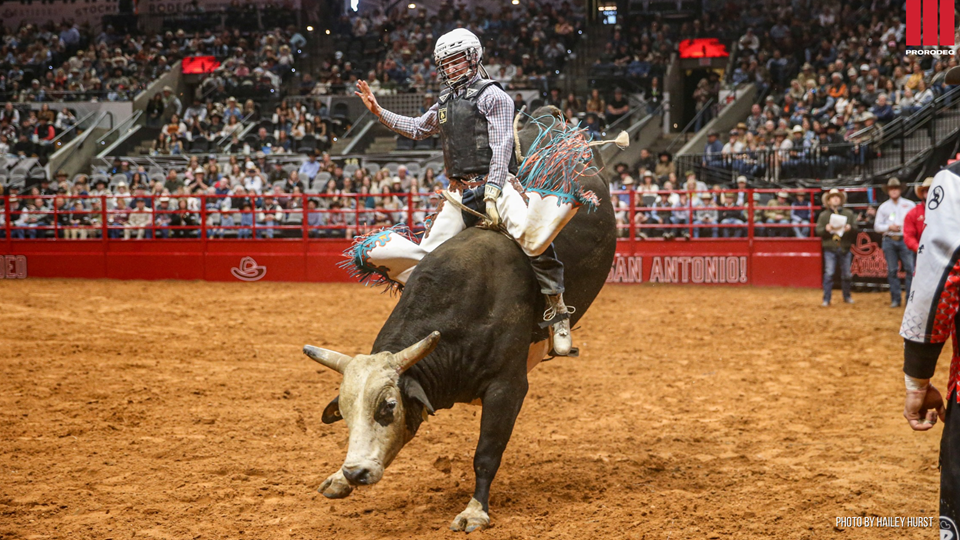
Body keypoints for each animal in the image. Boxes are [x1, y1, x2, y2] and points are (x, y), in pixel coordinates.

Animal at [304, 109, 618, 532]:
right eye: (345, 410)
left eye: (388, 406)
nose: (356, 472)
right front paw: (338, 478)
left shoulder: (508, 387)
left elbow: (486, 452)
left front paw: (475, 510)